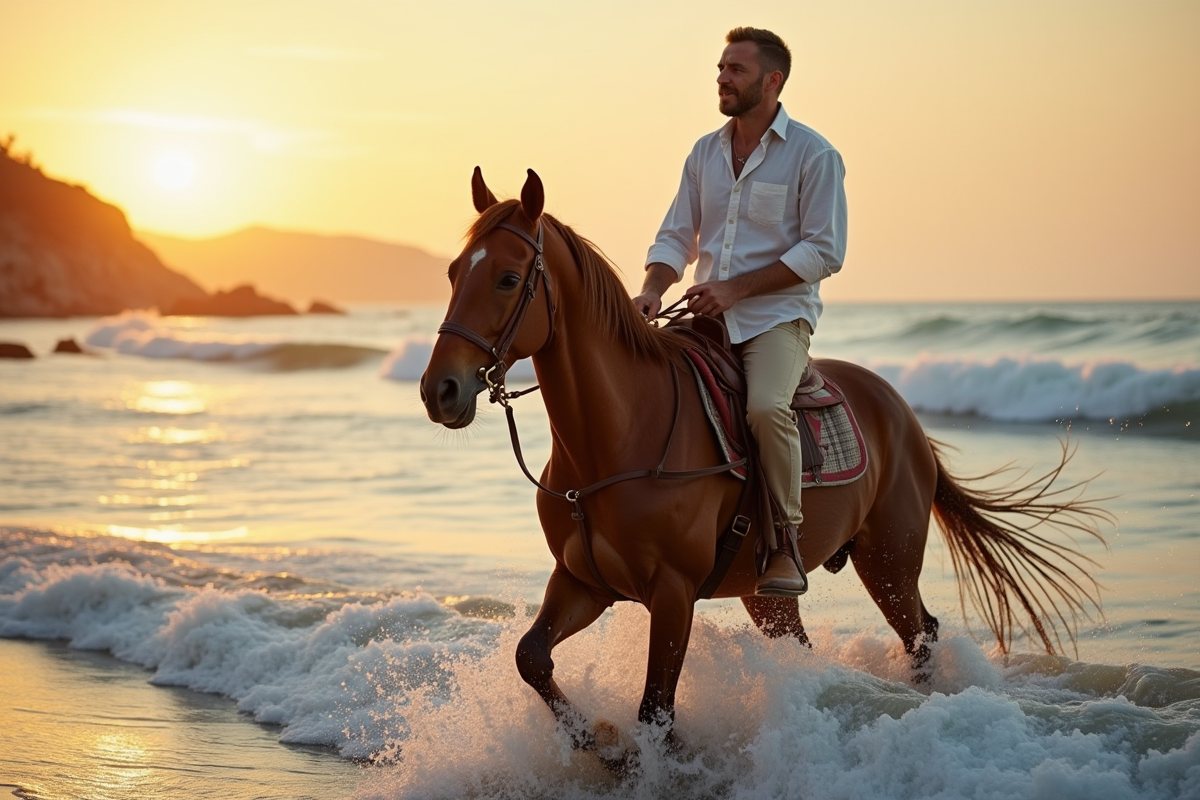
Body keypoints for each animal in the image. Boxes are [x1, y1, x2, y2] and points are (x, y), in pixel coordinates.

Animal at [420, 167, 1106, 756]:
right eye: (451, 273)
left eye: (509, 279)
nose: (440, 390)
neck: (617, 438)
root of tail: (901, 412)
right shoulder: (585, 582)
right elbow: (531, 657)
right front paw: (601, 745)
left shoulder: (672, 593)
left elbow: (656, 712)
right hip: (771, 595)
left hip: (889, 562)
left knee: (921, 636)